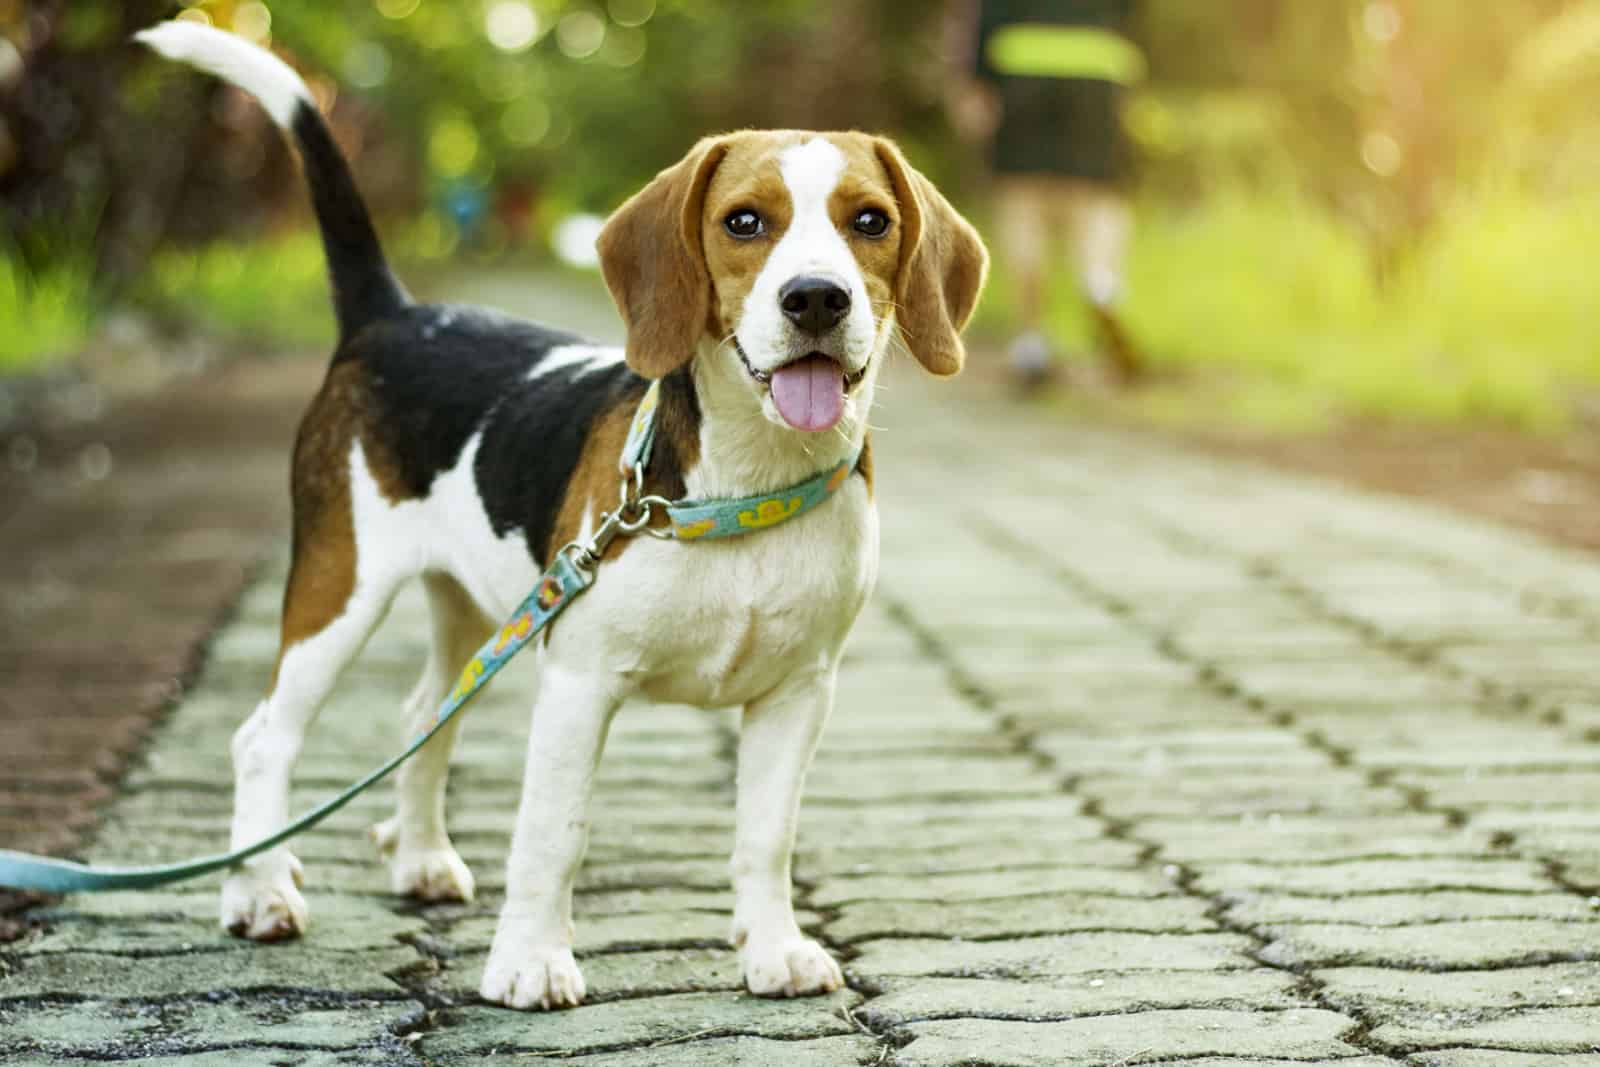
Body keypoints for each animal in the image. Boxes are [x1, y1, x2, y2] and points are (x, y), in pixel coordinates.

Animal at [140, 22, 985, 1011]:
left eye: (870, 222)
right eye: (745, 221)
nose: (816, 297)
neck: (744, 482)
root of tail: (392, 314)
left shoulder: (798, 691)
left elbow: (766, 835)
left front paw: (774, 947)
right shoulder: (580, 683)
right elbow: (555, 834)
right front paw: (531, 961)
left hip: (473, 607)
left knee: (425, 714)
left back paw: (419, 857)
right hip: (339, 588)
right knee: (264, 737)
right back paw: (261, 891)